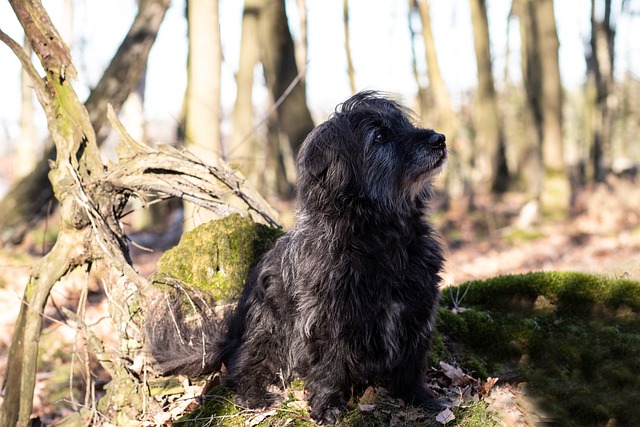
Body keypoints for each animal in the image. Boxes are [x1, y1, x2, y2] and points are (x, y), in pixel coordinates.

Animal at [146, 90, 444, 424]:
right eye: (379, 136)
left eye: (404, 124)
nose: (440, 139)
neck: (379, 234)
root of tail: (230, 338)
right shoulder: (326, 318)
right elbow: (329, 365)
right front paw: (327, 405)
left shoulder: (416, 306)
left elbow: (411, 361)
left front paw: (419, 397)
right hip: (267, 330)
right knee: (243, 368)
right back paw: (256, 395)